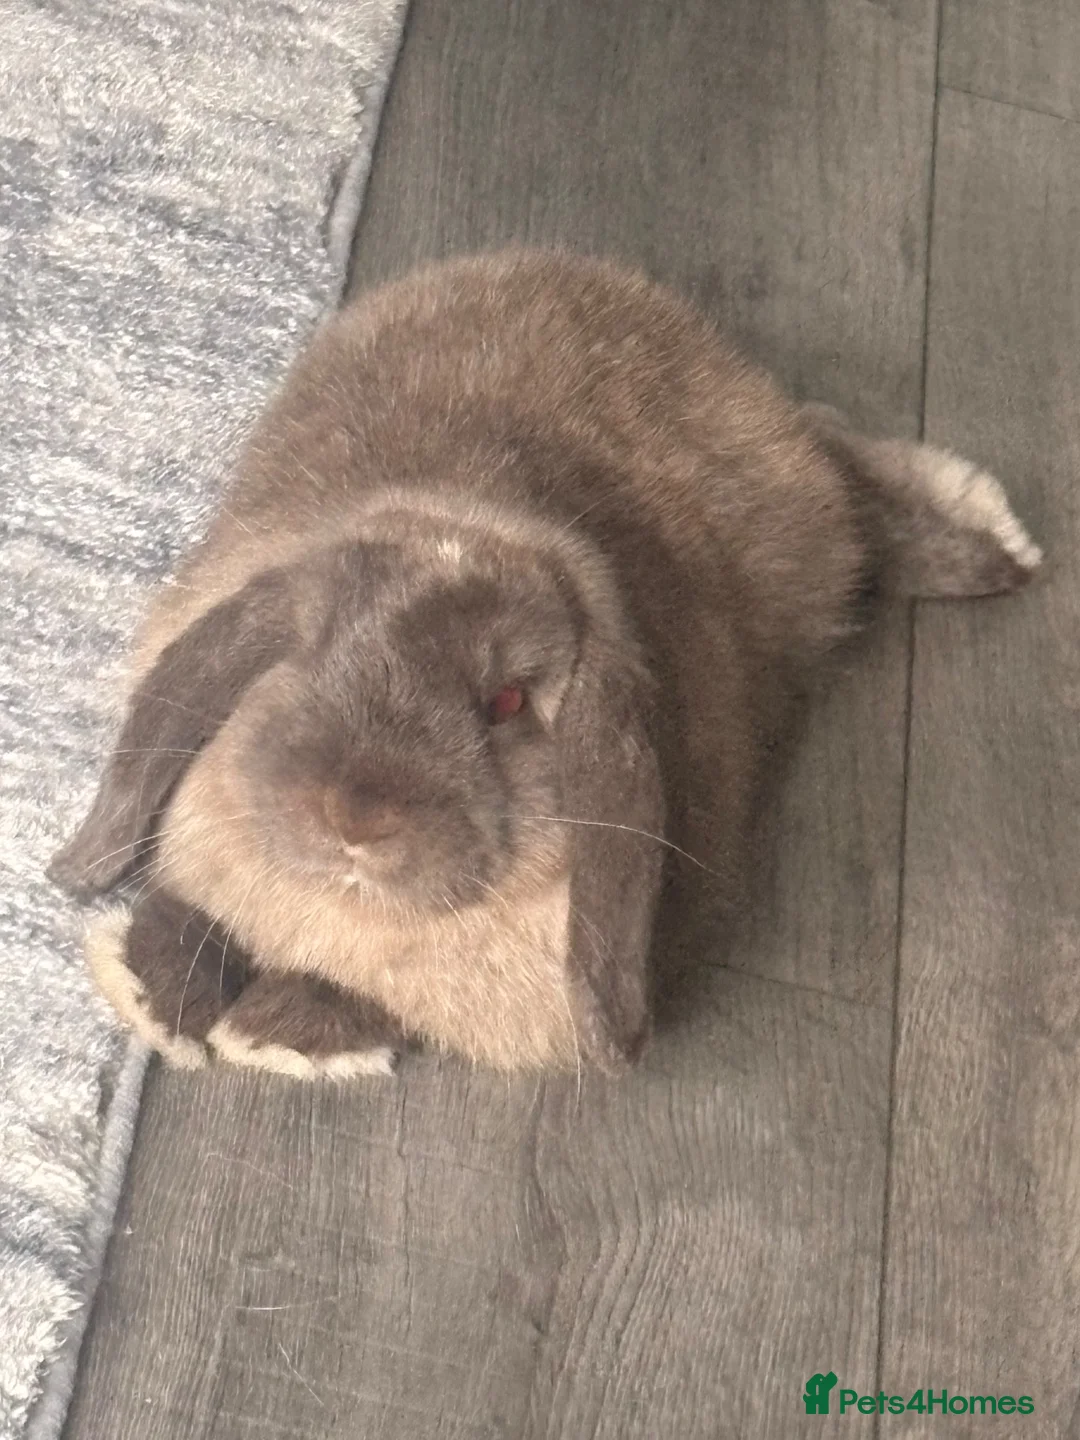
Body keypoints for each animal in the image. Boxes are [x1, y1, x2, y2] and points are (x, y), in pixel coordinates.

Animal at [48, 249, 1042, 1077]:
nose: (354, 816)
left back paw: (995, 542)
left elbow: (384, 1012)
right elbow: (187, 921)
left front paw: (278, 1027)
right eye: (313, 647)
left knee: (856, 496)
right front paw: (155, 988)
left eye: (507, 702)